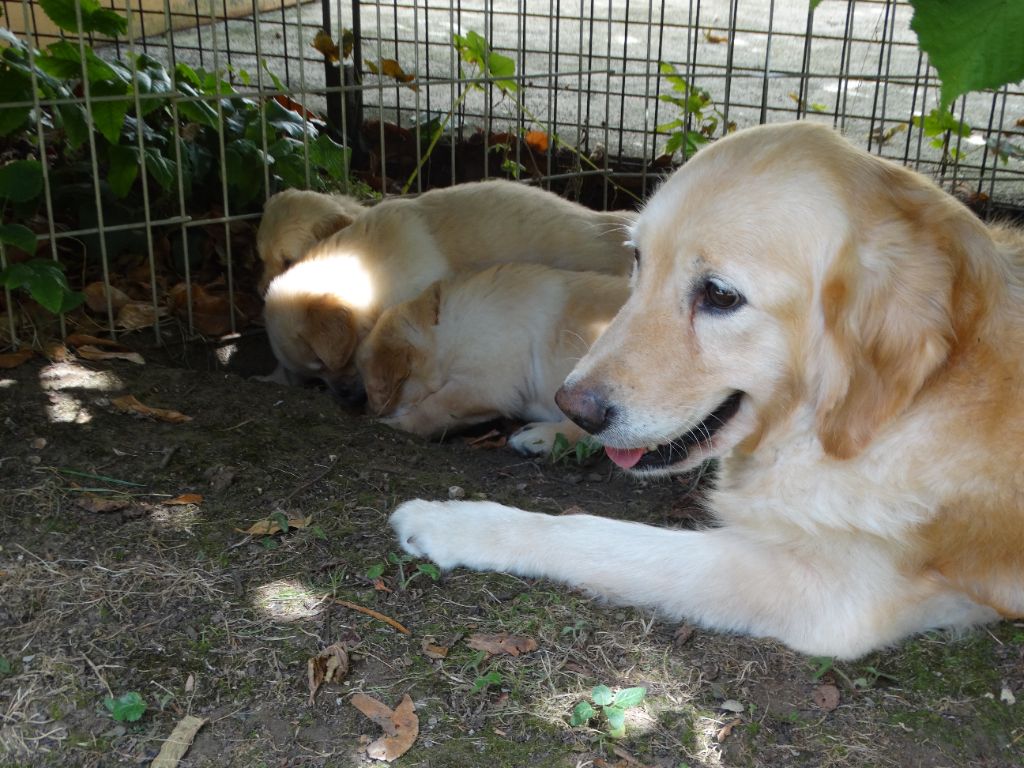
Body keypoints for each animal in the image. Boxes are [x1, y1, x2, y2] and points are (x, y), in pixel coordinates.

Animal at [356, 264, 626, 450]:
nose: (364, 409)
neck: (444, 324)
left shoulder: (483, 385)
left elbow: (434, 408)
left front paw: (397, 426)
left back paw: (537, 438)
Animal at [389, 123, 1024, 659]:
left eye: (719, 295)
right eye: (637, 259)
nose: (576, 406)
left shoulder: (826, 594)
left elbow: (594, 534)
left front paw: (453, 523)